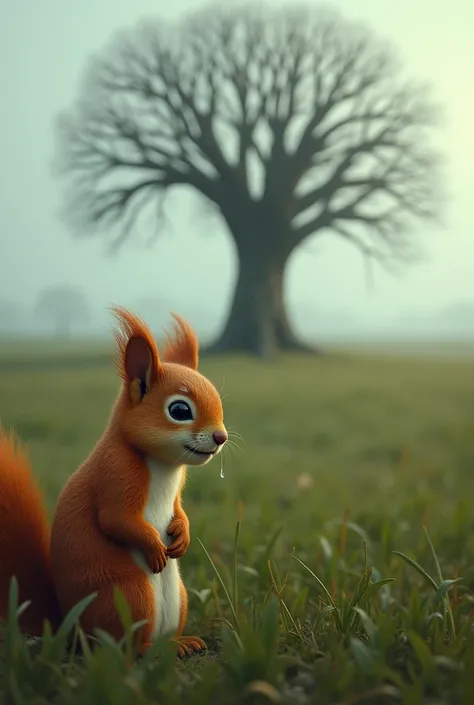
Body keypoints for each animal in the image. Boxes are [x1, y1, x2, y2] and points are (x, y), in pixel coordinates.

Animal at [0, 306, 228, 656]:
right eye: (179, 409)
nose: (221, 437)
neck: (162, 465)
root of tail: (72, 628)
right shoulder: (116, 473)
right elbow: (116, 519)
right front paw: (155, 548)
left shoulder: (175, 491)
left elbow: (178, 511)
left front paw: (183, 534)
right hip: (129, 594)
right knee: (125, 645)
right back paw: (151, 649)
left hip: (177, 597)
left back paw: (182, 642)